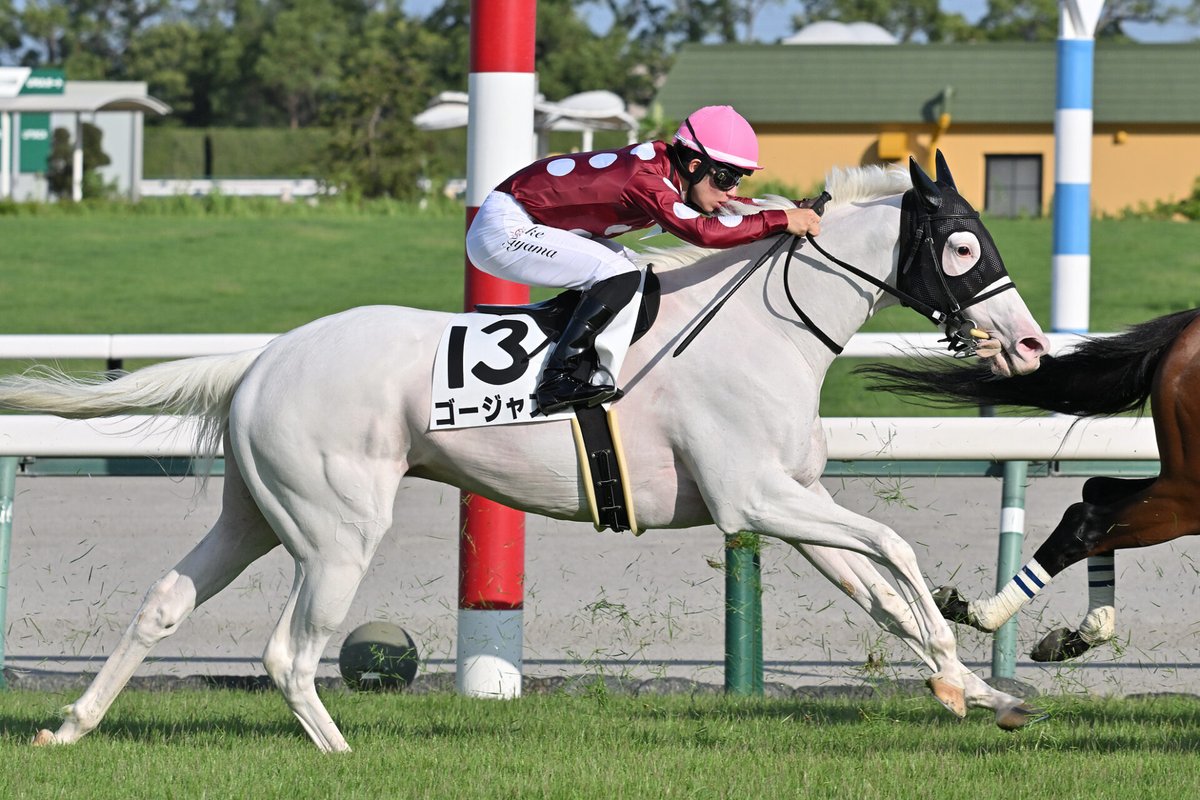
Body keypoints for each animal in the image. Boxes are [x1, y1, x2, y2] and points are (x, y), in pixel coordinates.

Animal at [1, 154, 1050, 752]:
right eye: (963, 245)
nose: (1032, 346)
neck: (766, 325)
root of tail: (259, 359)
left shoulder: (787, 504)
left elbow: (885, 592)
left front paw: (979, 690)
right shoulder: (754, 500)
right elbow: (899, 552)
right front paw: (964, 673)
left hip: (255, 515)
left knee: (164, 604)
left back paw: (69, 728)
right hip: (336, 531)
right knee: (288, 652)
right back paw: (340, 755)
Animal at [858, 308, 1200, 662]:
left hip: (1177, 485)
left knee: (1096, 491)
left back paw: (1079, 635)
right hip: (1188, 496)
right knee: (1085, 521)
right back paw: (979, 612)